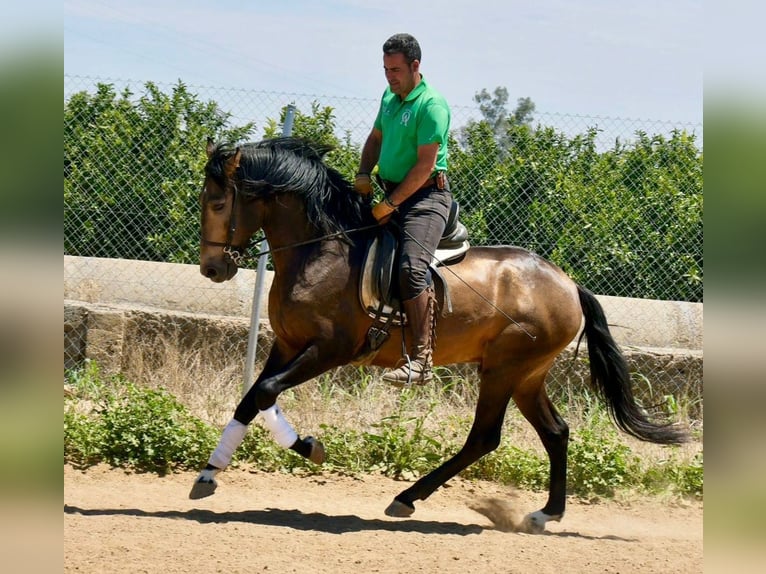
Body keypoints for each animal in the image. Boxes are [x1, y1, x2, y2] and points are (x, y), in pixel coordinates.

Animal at [194, 137, 688, 532]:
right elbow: (251, 398)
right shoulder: (288, 344)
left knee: (485, 438)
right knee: (556, 432)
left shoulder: (330, 349)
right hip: (526, 375)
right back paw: (545, 514)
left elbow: (265, 393)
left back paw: (406, 498)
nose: (212, 270)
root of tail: (568, 284)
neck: (320, 251)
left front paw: (310, 447)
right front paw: (209, 474)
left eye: (218, 204)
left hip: (504, 369)